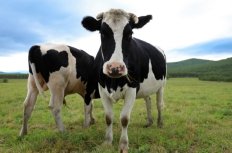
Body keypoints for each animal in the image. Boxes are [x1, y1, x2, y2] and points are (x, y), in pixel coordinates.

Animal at [82, 8, 166, 152]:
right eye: (102, 33)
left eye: (130, 34)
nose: (115, 67)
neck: (114, 82)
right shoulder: (102, 89)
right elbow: (108, 117)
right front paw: (107, 141)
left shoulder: (132, 88)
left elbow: (125, 118)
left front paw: (123, 144)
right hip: (145, 88)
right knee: (148, 102)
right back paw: (149, 122)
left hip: (161, 85)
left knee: (159, 104)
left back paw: (159, 123)